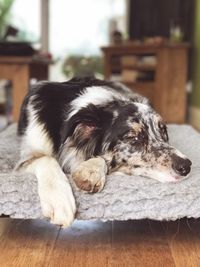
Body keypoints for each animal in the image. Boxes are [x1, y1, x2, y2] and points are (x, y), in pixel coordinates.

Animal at [16, 76, 192, 227]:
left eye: (163, 132)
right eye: (134, 138)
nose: (186, 166)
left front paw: (90, 170)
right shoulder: (24, 158)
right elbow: (46, 159)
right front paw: (59, 200)